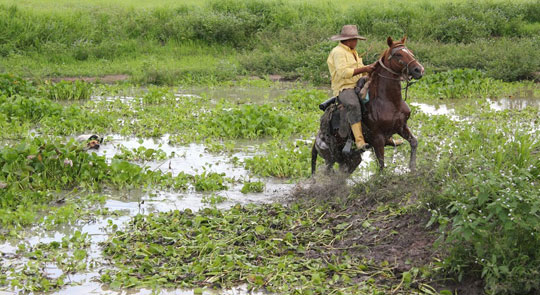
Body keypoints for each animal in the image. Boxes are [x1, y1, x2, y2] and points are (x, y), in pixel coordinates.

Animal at [314, 37, 424, 176]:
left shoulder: (401, 126)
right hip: (332, 158)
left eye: (410, 52)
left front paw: (413, 168)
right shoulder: (378, 139)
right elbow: (381, 164)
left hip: (351, 159)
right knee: (328, 172)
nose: (419, 70)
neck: (390, 102)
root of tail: (317, 140)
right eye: (398, 54)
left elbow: (414, 142)